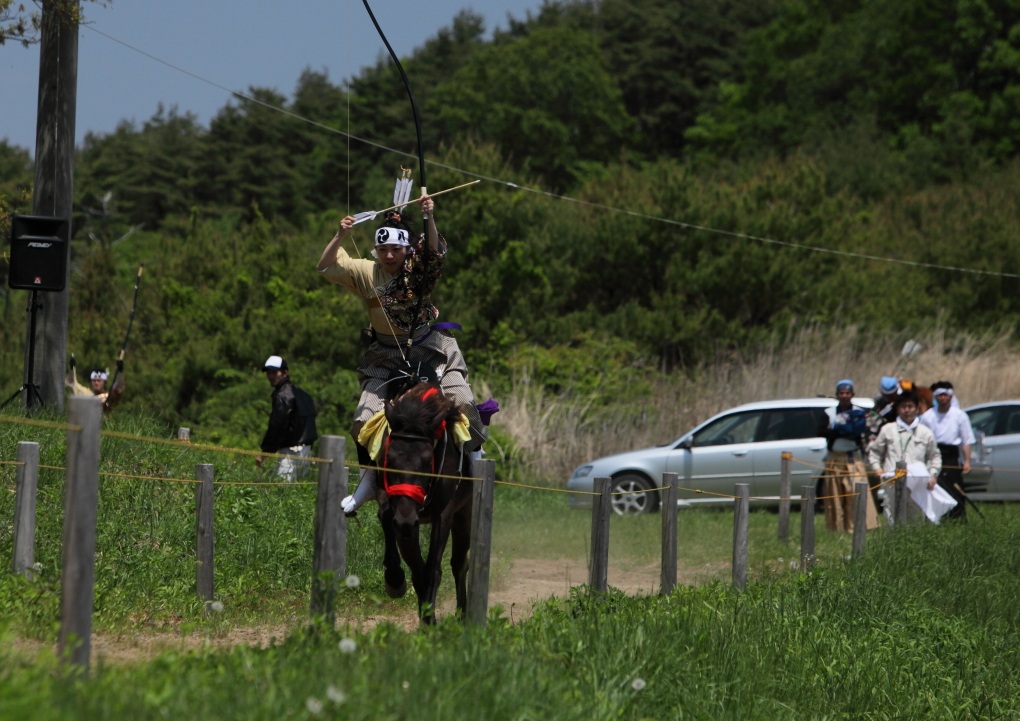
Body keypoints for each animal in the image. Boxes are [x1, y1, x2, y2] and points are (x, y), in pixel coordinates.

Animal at [375, 381, 473, 624]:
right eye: (390, 459)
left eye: (428, 461)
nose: (406, 519)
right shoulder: (399, 513)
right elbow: (417, 568)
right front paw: (395, 579)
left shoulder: (443, 514)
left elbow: (432, 570)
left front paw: (429, 621)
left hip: (464, 514)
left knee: (459, 563)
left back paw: (462, 615)